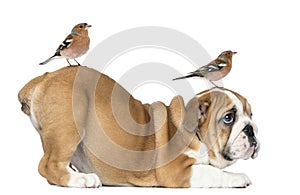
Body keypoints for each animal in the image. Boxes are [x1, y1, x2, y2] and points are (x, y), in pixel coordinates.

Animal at [18, 66, 258, 188]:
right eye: (228, 118)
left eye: (251, 114)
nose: (251, 129)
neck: (195, 134)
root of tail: (44, 77)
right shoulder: (177, 172)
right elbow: (211, 172)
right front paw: (238, 177)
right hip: (70, 122)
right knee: (48, 165)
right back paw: (82, 180)